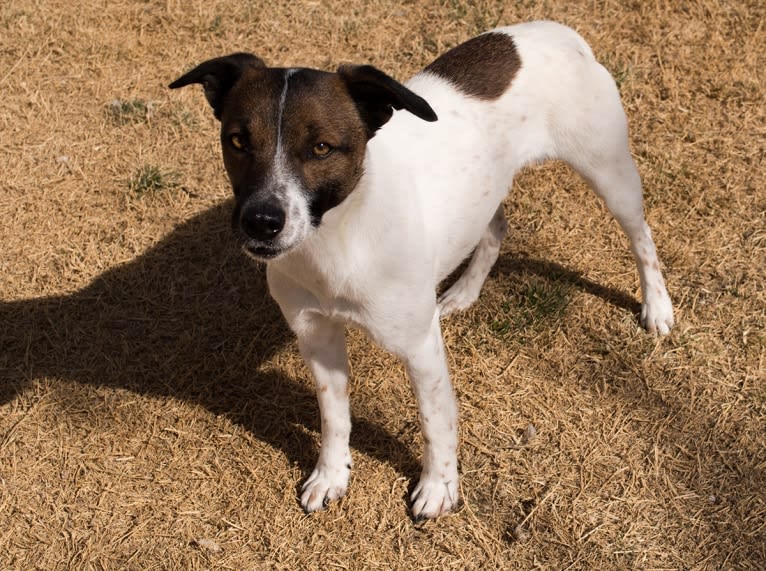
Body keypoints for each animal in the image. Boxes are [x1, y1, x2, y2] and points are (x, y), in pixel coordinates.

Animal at [171, 21, 676, 524]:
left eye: (321, 147)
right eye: (238, 140)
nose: (260, 221)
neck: (337, 239)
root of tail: (556, 29)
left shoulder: (419, 347)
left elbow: (435, 423)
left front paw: (439, 488)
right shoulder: (316, 336)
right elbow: (333, 416)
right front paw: (331, 475)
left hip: (609, 172)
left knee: (642, 236)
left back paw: (657, 306)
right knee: (496, 225)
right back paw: (464, 292)